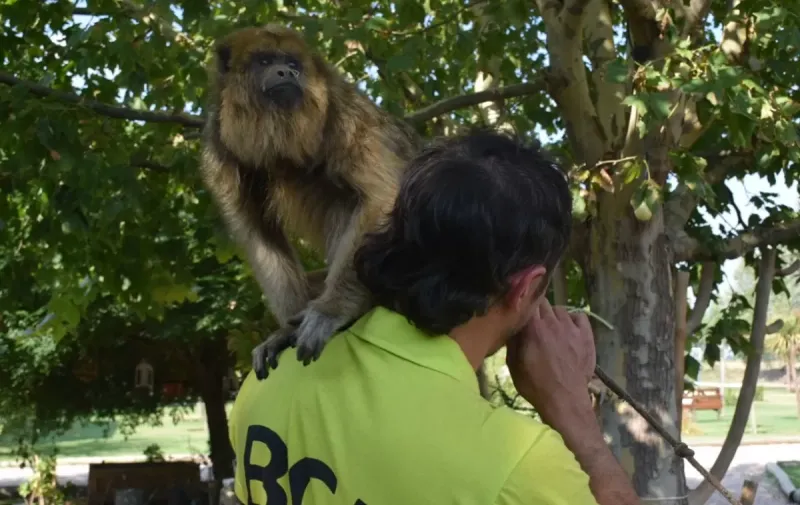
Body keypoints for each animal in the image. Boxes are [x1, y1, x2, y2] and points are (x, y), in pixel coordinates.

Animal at [200, 23, 422, 378]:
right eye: (265, 60)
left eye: (292, 62)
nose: (287, 72)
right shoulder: (218, 149)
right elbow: (258, 233)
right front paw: (284, 332)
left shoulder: (348, 116)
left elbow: (384, 195)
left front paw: (331, 310)